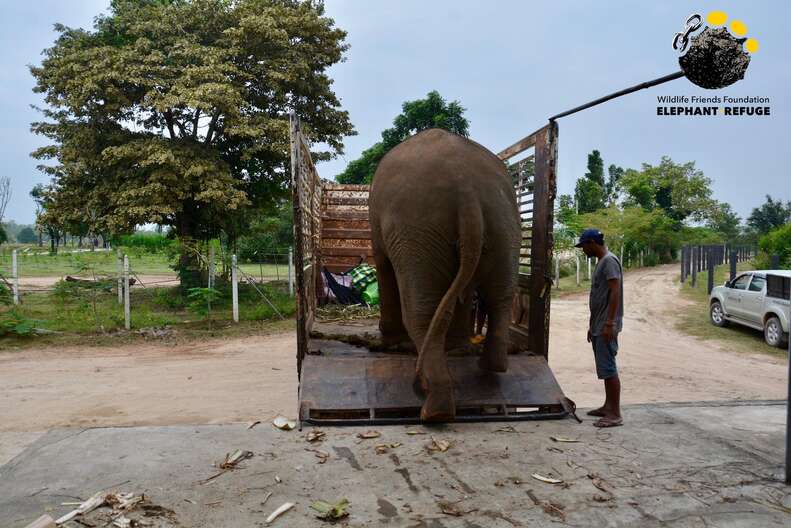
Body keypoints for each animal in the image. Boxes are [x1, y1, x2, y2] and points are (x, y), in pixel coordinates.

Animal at [372, 128, 524, 420]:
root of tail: (467, 190)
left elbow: (383, 265)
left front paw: (390, 340)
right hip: (505, 223)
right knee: (501, 294)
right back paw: (486, 363)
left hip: (416, 228)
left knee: (421, 310)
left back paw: (434, 408)